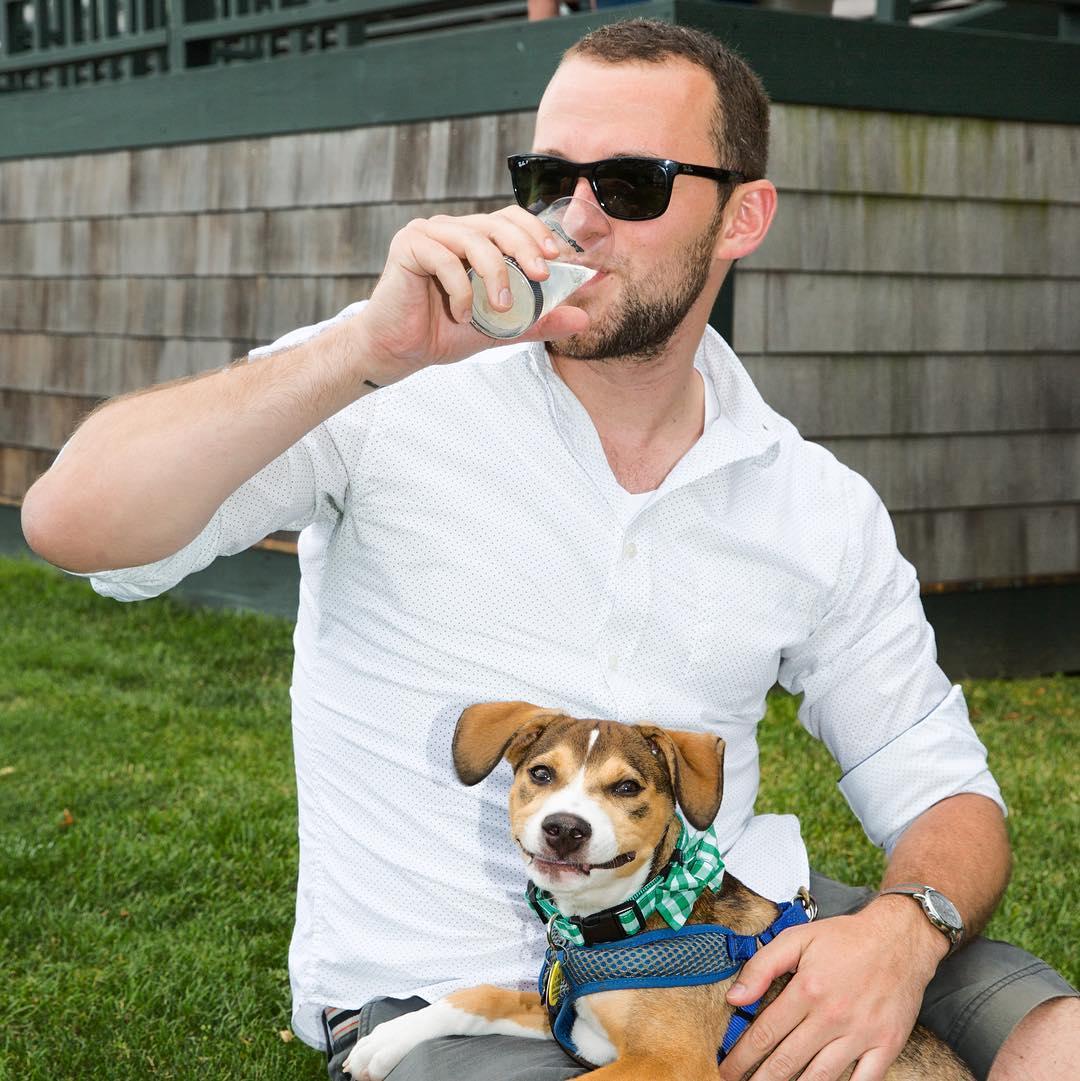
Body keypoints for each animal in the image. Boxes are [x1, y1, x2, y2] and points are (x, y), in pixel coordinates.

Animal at [343, 702, 974, 1080]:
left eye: (626, 787)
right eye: (541, 774)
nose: (564, 829)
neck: (614, 924)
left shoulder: (670, 1063)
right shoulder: (573, 1025)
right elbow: (482, 995)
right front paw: (390, 1038)